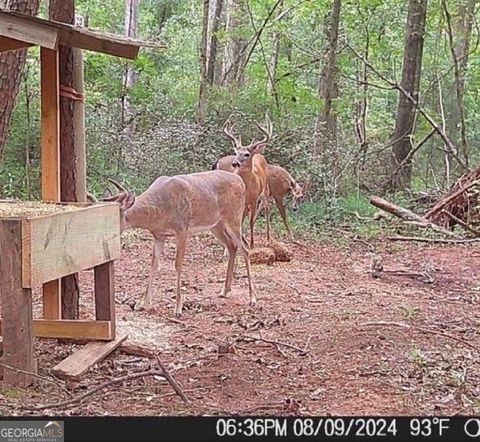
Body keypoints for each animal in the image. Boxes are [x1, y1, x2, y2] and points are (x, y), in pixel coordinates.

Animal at [102, 171, 255, 316]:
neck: (158, 212)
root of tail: (240, 181)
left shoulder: (182, 229)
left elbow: (178, 265)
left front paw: (178, 308)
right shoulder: (159, 235)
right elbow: (154, 265)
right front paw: (143, 304)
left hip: (234, 217)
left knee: (245, 247)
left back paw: (252, 298)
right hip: (216, 225)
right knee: (232, 246)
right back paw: (224, 291)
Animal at [218, 115, 274, 249]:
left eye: (246, 154)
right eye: (235, 152)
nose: (235, 163)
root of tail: (258, 154)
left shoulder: (253, 200)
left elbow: (251, 222)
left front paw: (252, 244)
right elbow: (240, 222)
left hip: (265, 190)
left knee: (267, 209)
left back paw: (268, 239)